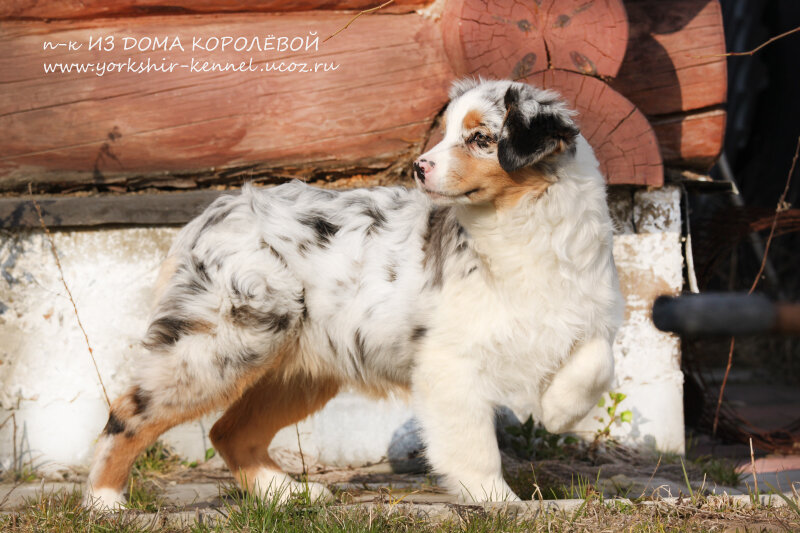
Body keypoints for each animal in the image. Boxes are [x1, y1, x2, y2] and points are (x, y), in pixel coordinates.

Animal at [87, 77, 624, 504]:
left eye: (480, 138)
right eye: (447, 133)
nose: (419, 167)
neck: (520, 224)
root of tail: (207, 215)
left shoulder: (587, 308)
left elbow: (597, 363)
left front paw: (558, 413)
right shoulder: (449, 361)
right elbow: (473, 444)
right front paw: (501, 502)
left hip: (300, 370)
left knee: (228, 431)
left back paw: (287, 496)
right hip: (221, 345)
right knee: (129, 413)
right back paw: (104, 502)